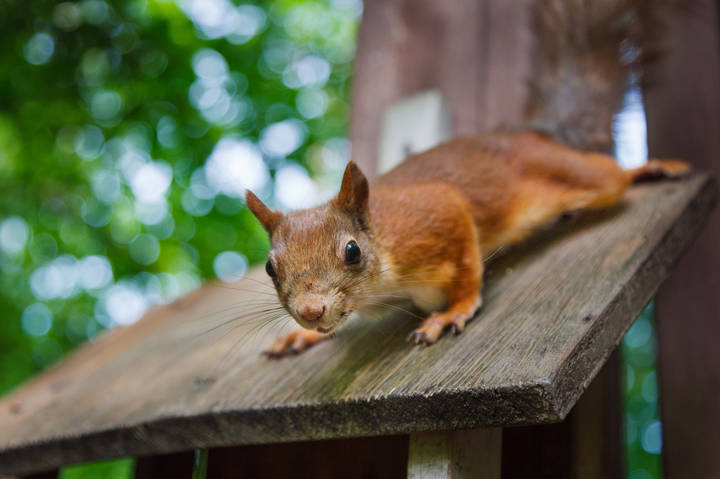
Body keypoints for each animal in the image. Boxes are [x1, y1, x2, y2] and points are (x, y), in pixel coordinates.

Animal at [244, 0, 686, 357]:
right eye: (269, 268)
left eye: (352, 251)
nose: (310, 311)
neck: (384, 259)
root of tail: (529, 133)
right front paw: (304, 336)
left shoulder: (440, 213)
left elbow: (469, 273)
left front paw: (451, 313)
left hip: (580, 176)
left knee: (612, 174)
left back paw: (655, 166)